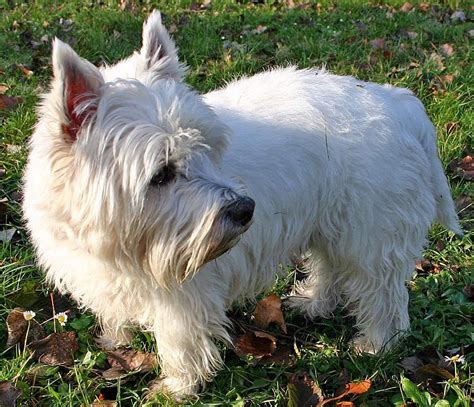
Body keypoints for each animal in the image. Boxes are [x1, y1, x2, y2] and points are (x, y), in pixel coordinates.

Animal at [22, 11, 460, 400]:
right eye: (161, 173)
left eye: (208, 147)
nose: (246, 209)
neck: (119, 243)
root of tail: (397, 104)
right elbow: (115, 313)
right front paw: (116, 339)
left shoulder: (185, 292)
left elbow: (179, 340)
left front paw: (176, 388)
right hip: (332, 222)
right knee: (331, 267)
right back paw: (313, 303)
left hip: (370, 232)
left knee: (382, 292)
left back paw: (376, 343)